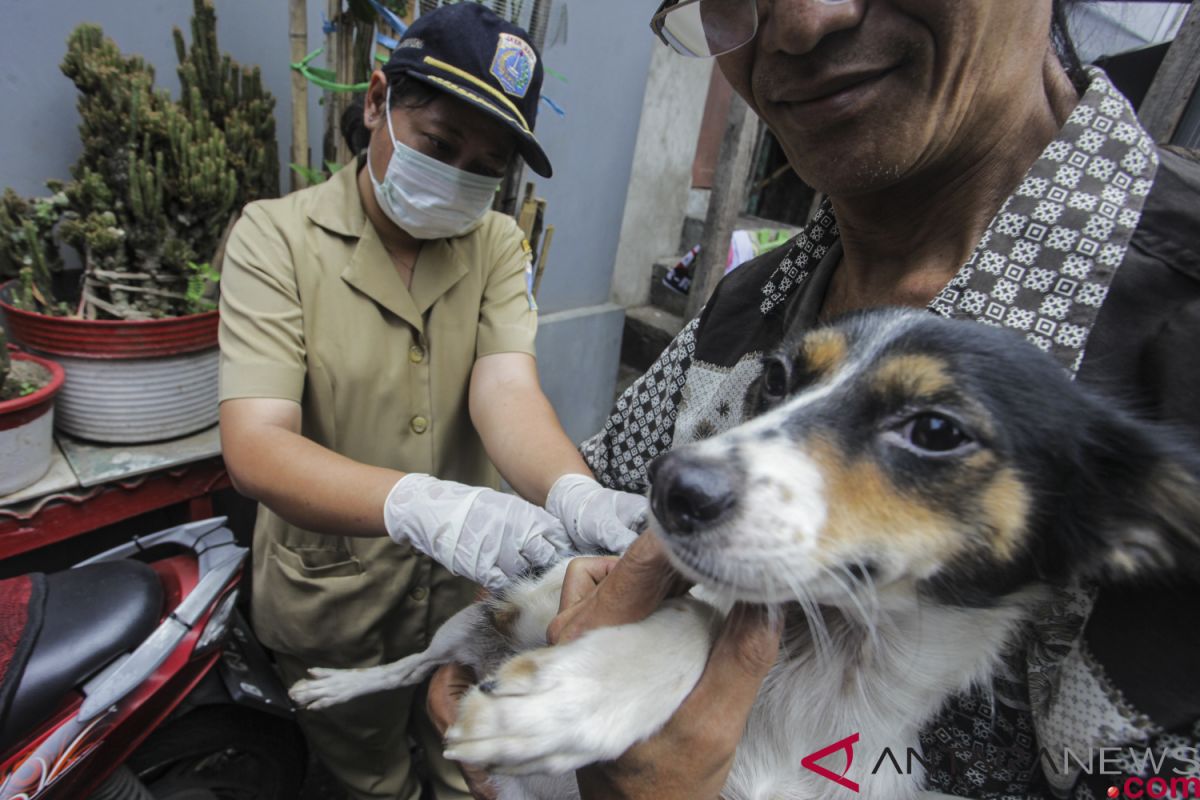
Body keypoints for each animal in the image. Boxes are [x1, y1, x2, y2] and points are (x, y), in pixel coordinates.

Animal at [290, 309, 1200, 800]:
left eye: (937, 430)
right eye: (779, 378)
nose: (669, 486)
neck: (828, 667)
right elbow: (698, 618)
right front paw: (583, 691)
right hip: (477, 621)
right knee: (409, 665)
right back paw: (333, 683)